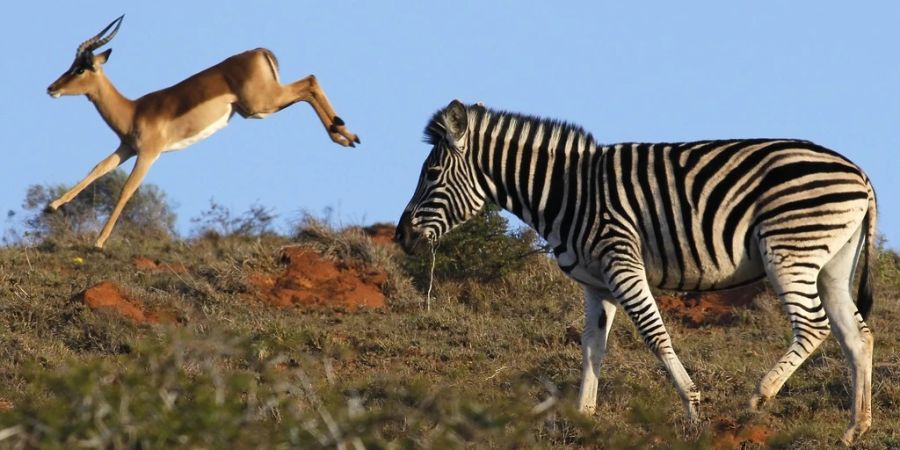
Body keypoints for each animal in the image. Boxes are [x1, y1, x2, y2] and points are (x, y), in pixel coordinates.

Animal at [396, 99, 880, 446]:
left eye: (432, 173)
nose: (402, 237)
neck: (568, 191)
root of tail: (859, 173)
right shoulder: (597, 285)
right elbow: (592, 349)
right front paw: (583, 420)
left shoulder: (622, 262)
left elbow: (654, 334)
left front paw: (693, 410)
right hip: (831, 265)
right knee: (857, 335)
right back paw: (854, 429)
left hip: (789, 250)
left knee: (814, 326)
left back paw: (759, 395)